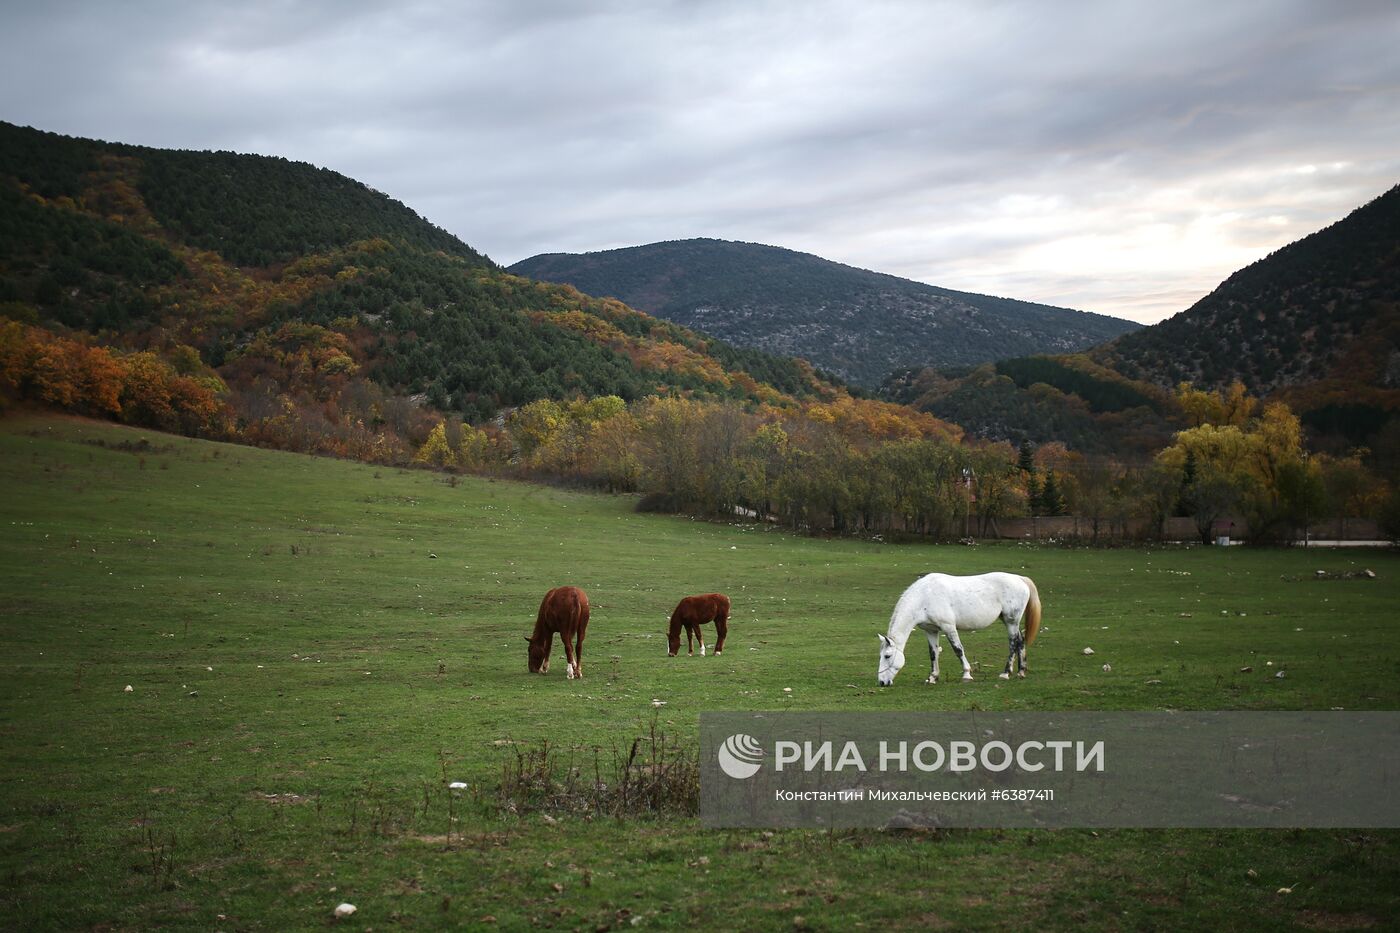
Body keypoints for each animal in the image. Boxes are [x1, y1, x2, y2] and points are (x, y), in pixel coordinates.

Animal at [876, 572, 1041, 686]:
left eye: (887, 656)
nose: (882, 682)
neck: (924, 597)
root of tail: (1020, 578)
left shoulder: (949, 627)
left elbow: (958, 650)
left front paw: (967, 674)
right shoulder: (931, 630)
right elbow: (933, 654)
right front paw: (932, 677)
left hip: (1011, 621)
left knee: (1013, 642)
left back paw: (1006, 673)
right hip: (1010, 622)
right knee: (1020, 640)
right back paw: (1021, 671)